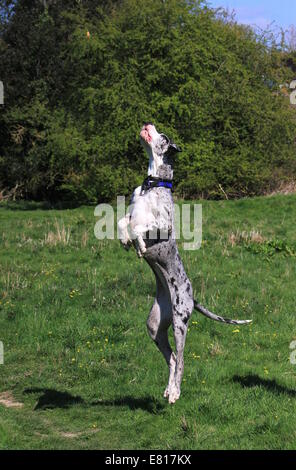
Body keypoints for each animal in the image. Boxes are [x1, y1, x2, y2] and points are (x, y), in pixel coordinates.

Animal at [117, 122, 251, 404]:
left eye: (164, 136)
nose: (148, 123)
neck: (151, 184)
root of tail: (192, 297)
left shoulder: (162, 224)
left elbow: (138, 226)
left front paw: (140, 244)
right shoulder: (131, 211)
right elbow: (125, 221)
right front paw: (126, 239)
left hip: (180, 323)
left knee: (181, 361)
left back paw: (176, 392)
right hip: (155, 326)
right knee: (172, 358)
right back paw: (169, 389)